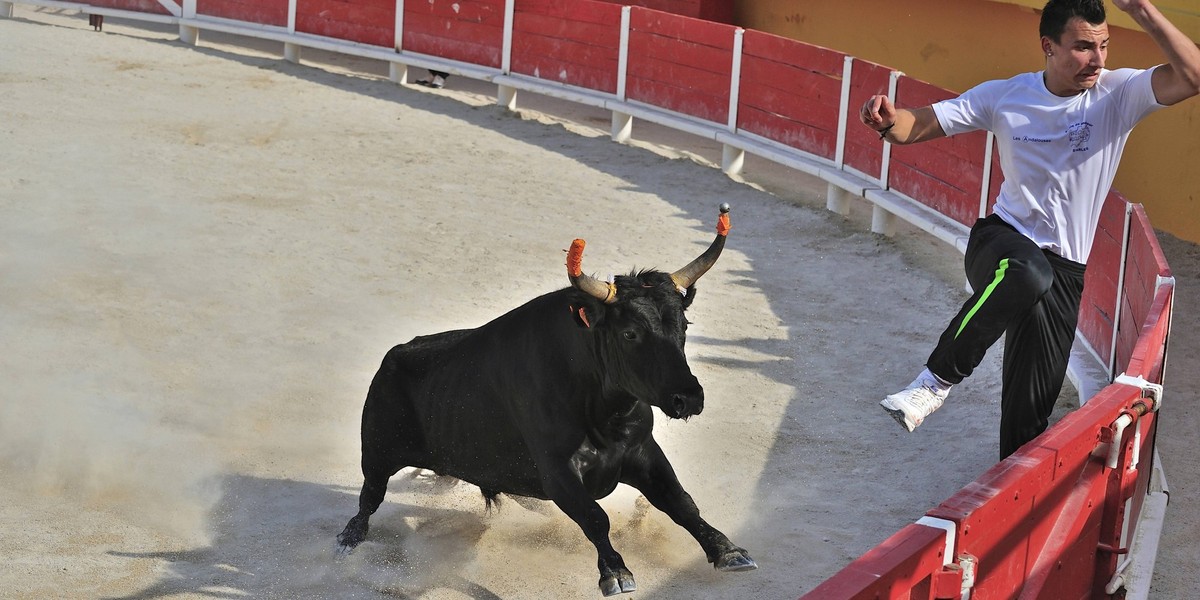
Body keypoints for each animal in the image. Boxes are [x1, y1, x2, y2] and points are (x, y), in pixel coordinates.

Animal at [333, 207, 753, 595]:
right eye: (630, 332)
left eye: (683, 326)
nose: (688, 398)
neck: (604, 414)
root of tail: (395, 355)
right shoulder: (557, 470)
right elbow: (595, 516)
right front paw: (615, 573)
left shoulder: (643, 452)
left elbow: (680, 502)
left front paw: (728, 551)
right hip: (377, 450)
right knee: (369, 497)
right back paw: (348, 540)